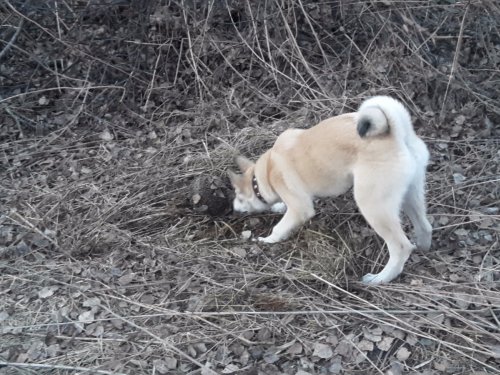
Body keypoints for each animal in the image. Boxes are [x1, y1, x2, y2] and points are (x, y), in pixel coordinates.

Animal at [229, 96, 432, 284]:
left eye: (239, 196)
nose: (234, 209)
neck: (266, 171)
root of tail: (397, 135)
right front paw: (278, 207)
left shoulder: (300, 208)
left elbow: (279, 228)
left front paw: (267, 240)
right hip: (411, 196)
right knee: (425, 226)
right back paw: (423, 247)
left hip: (374, 207)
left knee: (401, 246)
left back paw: (380, 278)